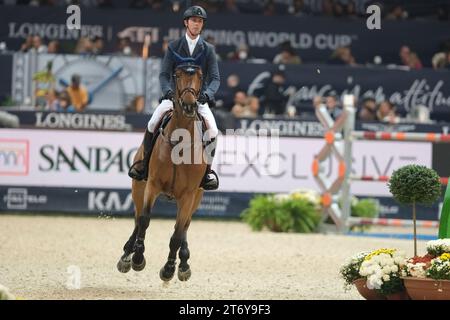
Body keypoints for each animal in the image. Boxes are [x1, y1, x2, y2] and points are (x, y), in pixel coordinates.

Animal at [117, 57, 210, 282]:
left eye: (200, 76)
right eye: (177, 75)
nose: (189, 105)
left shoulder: (188, 195)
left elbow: (177, 234)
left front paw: (169, 269)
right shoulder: (152, 185)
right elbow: (144, 220)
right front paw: (137, 258)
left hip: (197, 197)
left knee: (184, 226)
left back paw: (183, 264)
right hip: (138, 188)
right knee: (138, 218)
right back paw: (127, 254)